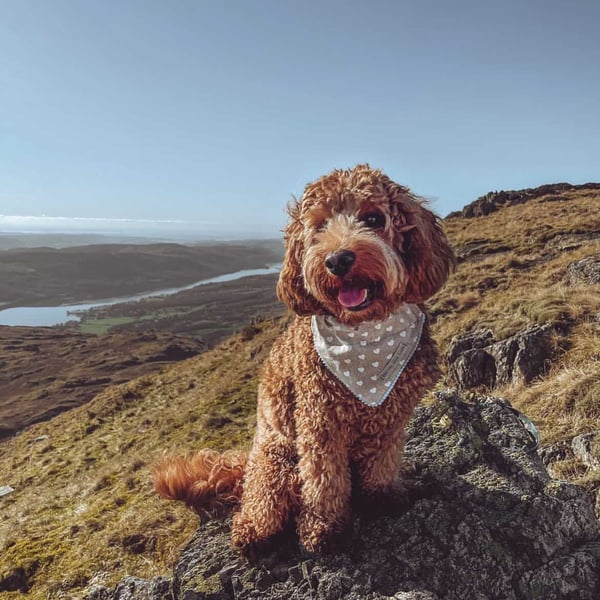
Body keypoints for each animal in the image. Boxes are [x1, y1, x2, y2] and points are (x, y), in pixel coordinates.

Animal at [155, 163, 454, 552]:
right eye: (319, 227)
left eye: (374, 218)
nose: (338, 259)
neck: (365, 332)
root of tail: (245, 466)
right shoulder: (318, 418)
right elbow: (323, 480)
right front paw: (323, 529)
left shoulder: (394, 417)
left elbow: (383, 461)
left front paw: (382, 496)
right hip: (275, 463)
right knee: (265, 499)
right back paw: (253, 531)